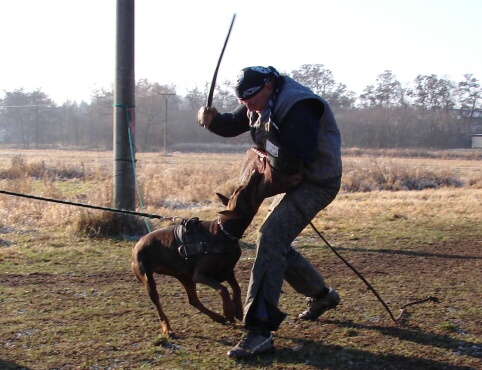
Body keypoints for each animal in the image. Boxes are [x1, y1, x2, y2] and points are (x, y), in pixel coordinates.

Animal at [130, 171, 262, 338]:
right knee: (158, 304)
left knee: (193, 300)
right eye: (245, 192)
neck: (224, 232)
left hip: (184, 275)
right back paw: (168, 328)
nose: (255, 172)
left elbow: (236, 288)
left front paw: (237, 309)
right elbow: (223, 289)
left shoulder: (227, 270)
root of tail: (136, 245)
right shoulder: (200, 275)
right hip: (148, 276)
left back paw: (217, 317)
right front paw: (228, 310)